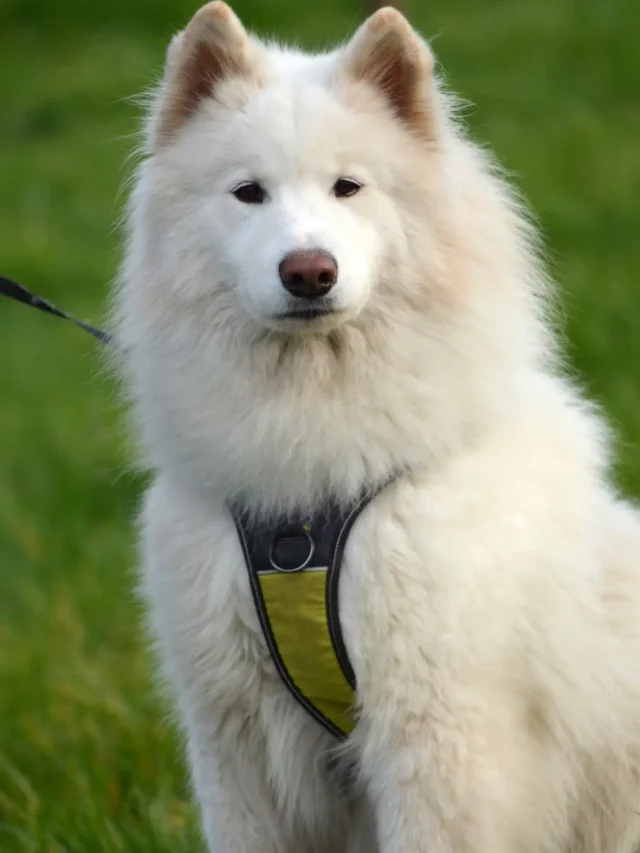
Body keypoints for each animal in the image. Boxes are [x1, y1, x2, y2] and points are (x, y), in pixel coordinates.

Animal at [112, 3, 640, 848]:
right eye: (248, 193)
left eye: (348, 187)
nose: (308, 271)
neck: (311, 490)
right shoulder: (236, 738)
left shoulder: (436, 734)